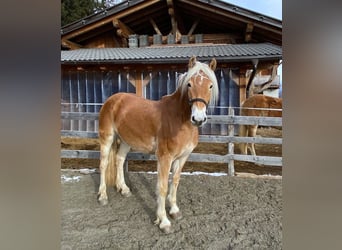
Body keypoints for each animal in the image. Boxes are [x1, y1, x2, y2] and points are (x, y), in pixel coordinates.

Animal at [96, 56, 219, 232]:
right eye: (189, 84)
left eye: (210, 85)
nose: (198, 119)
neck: (179, 119)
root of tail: (113, 99)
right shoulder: (164, 158)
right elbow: (162, 187)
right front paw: (164, 221)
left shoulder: (182, 158)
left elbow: (175, 182)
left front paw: (174, 211)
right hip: (107, 138)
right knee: (104, 164)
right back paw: (103, 196)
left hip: (126, 141)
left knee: (119, 160)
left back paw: (124, 189)